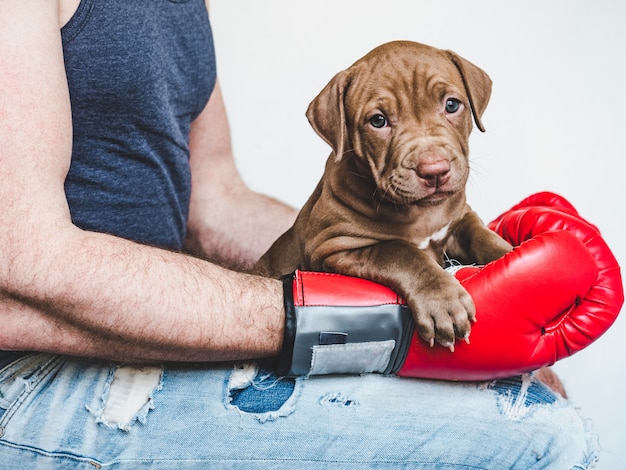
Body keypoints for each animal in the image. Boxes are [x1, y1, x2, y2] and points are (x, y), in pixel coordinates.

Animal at [255, 40, 512, 348]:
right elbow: (400, 251)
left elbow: (481, 235)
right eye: (378, 121)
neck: (421, 212)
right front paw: (443, 300)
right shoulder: (332, 246)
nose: (434, 170)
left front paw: (514, 260)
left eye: (451, 105)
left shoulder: (458, 218)